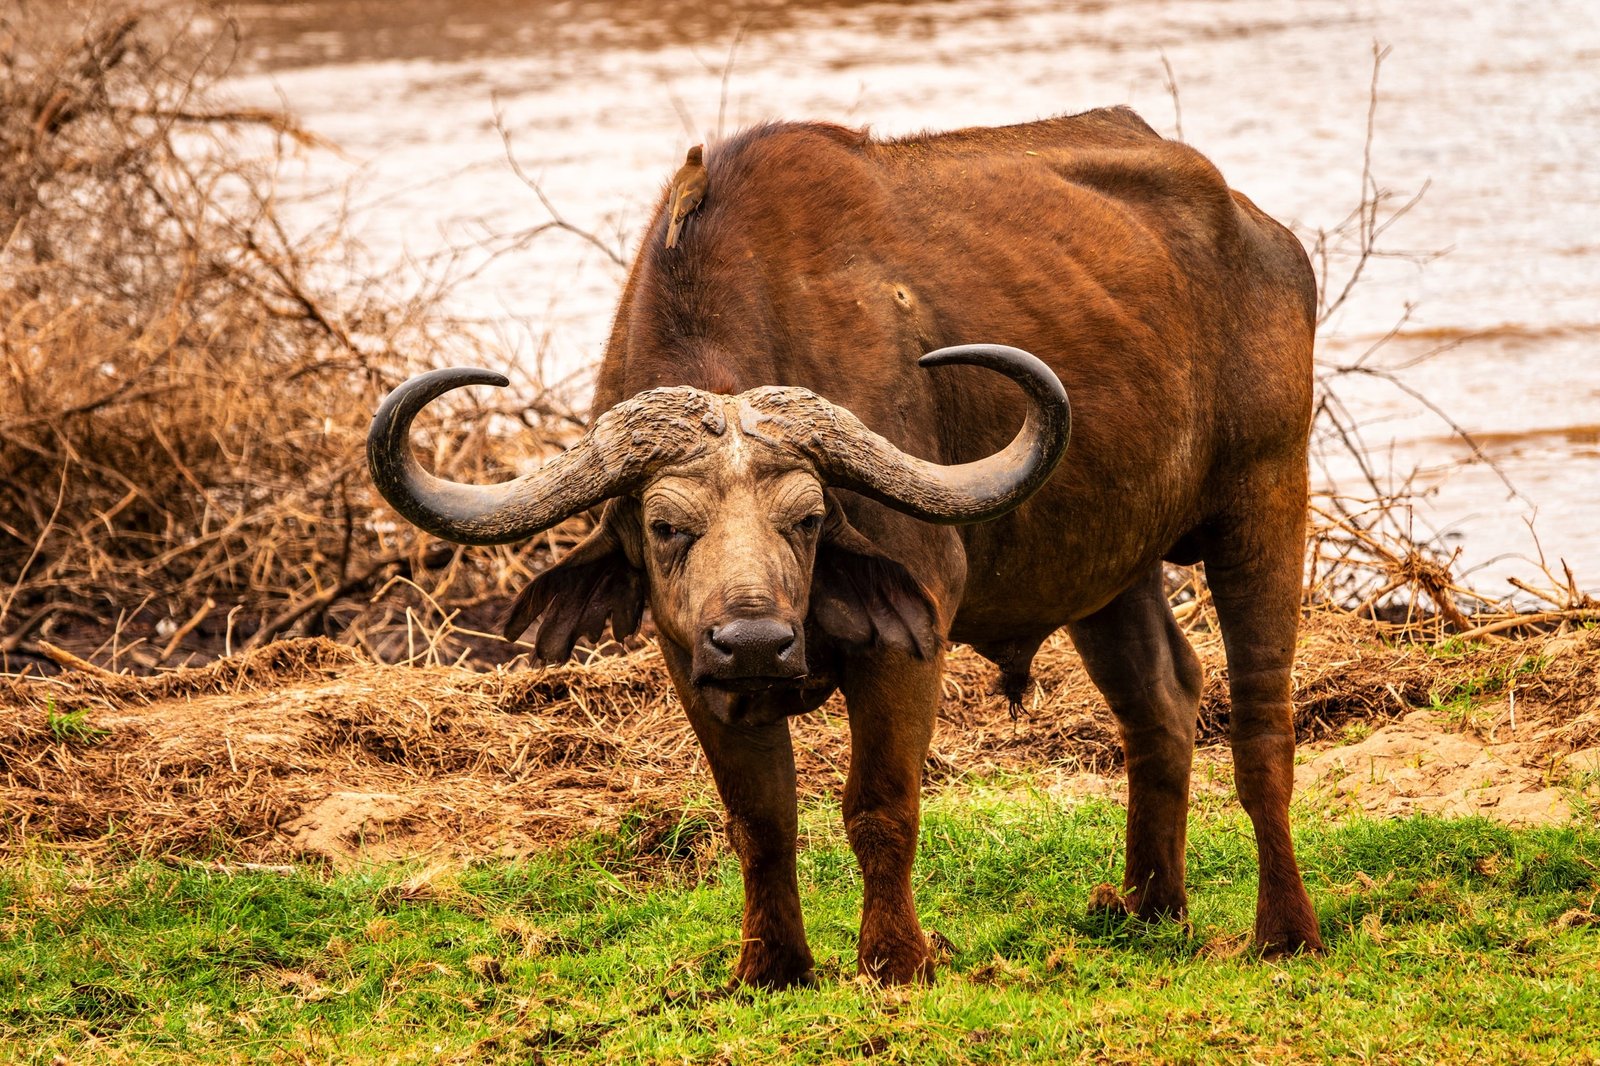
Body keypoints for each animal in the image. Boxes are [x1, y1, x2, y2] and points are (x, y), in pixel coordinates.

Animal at [371, 105, 1324, 979]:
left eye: (810, 519)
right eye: (666, 526)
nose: (755, 639)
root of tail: (1265, 237)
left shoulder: (907, 639)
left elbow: (881, 806)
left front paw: (895, 958)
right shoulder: (692, 665)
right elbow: (760, 819)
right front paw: (771, 967)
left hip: (1267, 498)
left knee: (1261, 726)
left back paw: (1284, 931)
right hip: (1109, 568)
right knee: (1160, 702)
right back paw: (1148, 908)